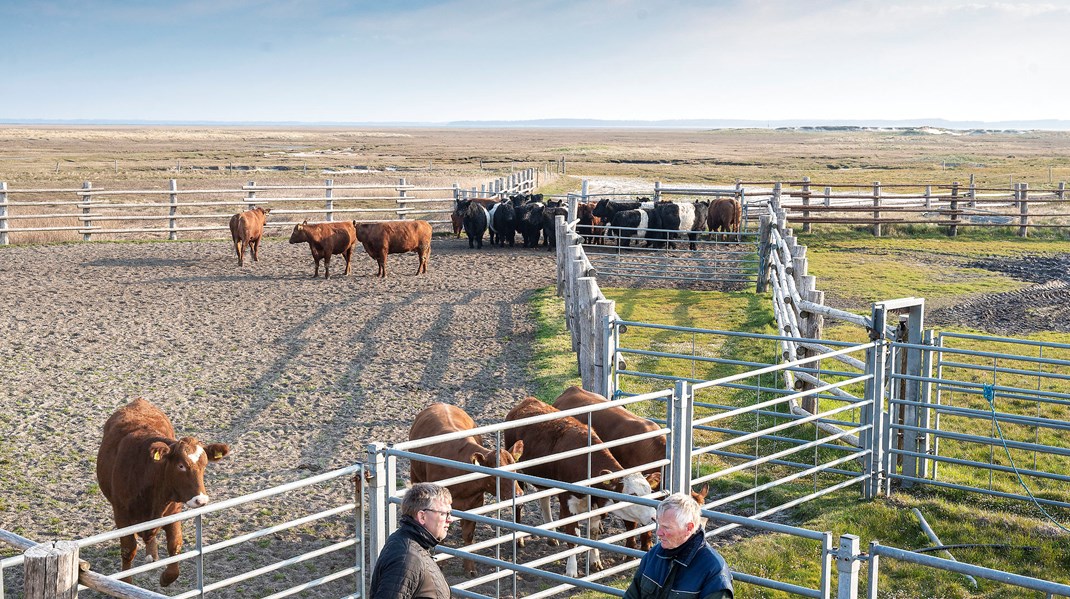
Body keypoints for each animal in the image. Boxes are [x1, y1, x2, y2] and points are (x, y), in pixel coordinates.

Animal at [96, 395, 230, 586]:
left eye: (204, 465)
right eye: (181, 465)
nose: (201, 500)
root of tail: (139, 401)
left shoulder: (173, 511)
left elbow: (175, 545)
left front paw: (166, 578)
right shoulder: (121, 514)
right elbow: (128, 550)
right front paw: (126, 582)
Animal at [406, 404, 524, 577]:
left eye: (515, 468)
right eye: (498, 474)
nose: (519, 495)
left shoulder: (476, 502)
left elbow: (468, 534)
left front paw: (470, 568)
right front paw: (441, 563)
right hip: (415, 474)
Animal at [502, 397, 659, 577]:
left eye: (650, 491)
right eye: (633, 494)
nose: (654, 518)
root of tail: (527, 401)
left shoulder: (596, 507)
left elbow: (593, 535)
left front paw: (595, 561)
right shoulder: (568, 505)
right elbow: (573, 539)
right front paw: (571, 570)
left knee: (544, 500)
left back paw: (552, 536)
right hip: (517, 473)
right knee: (518, 506)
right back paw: (519, 539)